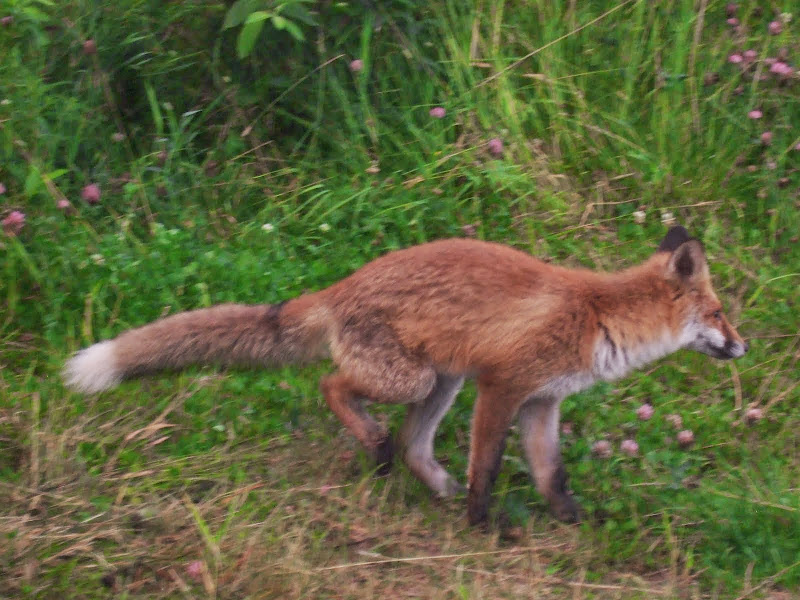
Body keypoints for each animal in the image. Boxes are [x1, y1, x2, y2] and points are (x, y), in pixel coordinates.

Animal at [64, 226, 752, 524]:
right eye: (720, 313)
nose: (743, 347)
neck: (597, 317)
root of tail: (339, 287)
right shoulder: (501, 385)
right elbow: (487, 468)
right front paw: (483, 525)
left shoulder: (541, 404)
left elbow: (551, 474)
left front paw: (577, 520)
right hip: (415, 381)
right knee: (334, 388)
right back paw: (375, 448)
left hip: (441, 383)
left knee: (415, 444)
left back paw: (420, 478)